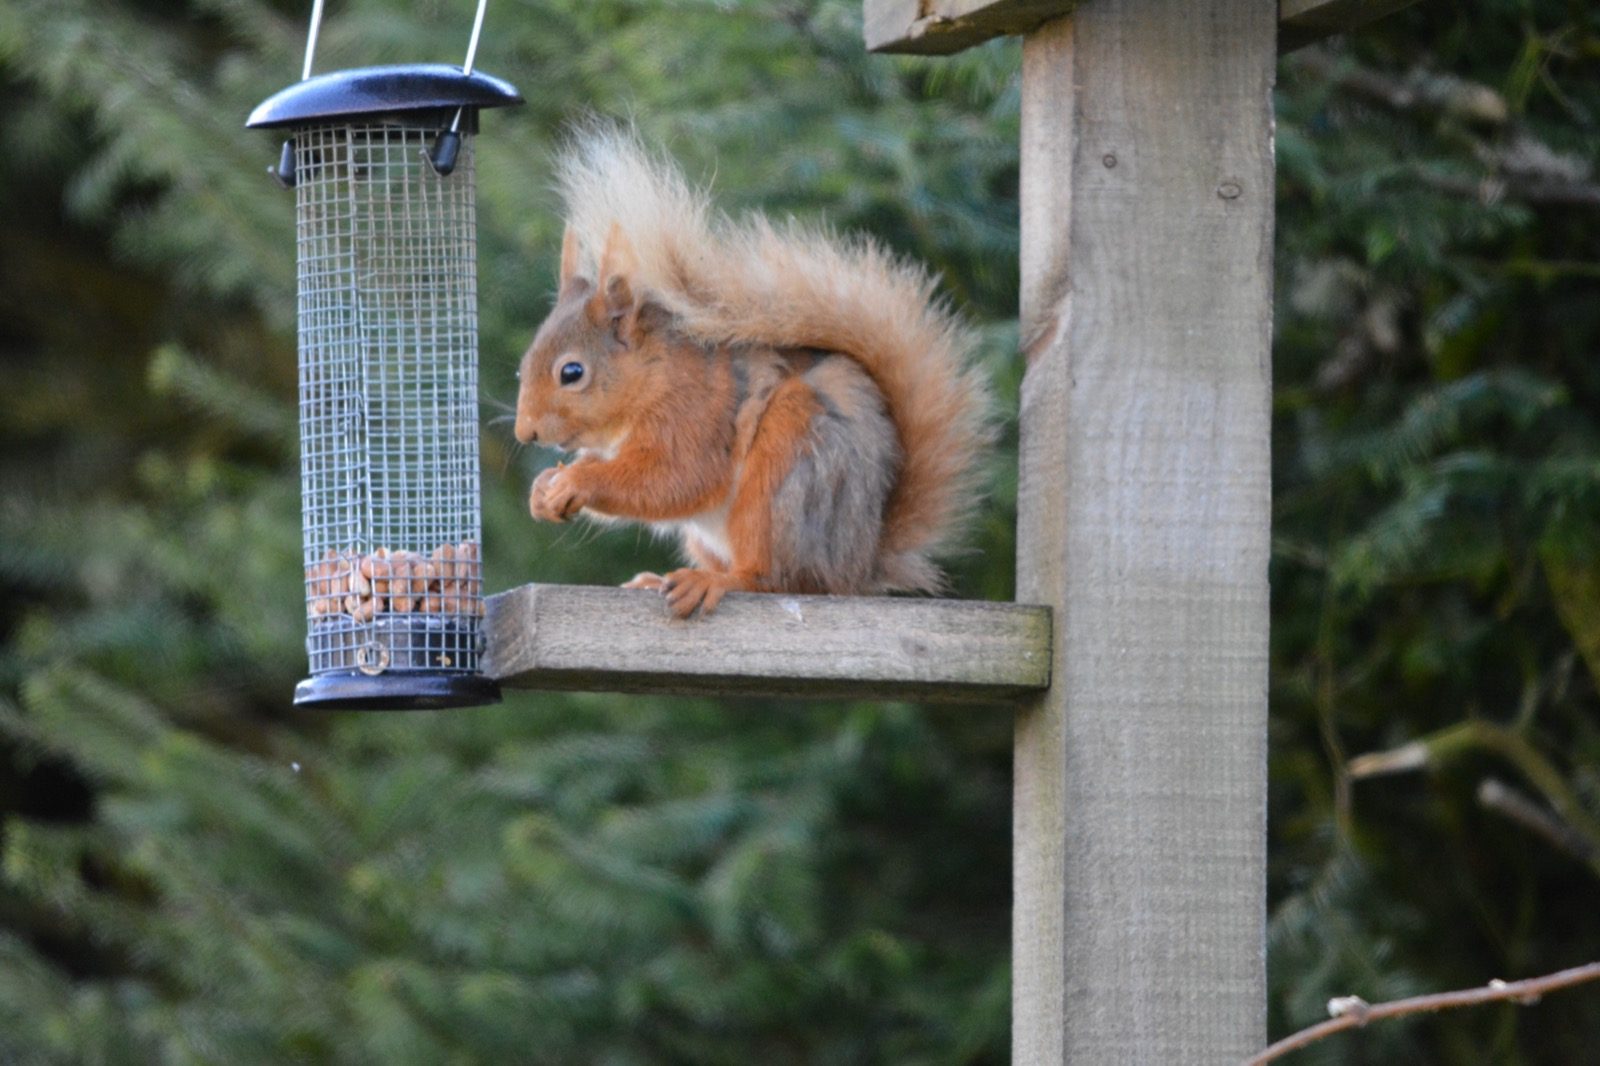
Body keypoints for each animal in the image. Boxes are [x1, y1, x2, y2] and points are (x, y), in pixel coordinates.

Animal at [514, 126, 991, 618]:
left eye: (572, 372)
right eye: (522, 369)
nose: (525, 433)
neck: (652, 377)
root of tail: (856, 568)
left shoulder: (695, 415)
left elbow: (674, 479)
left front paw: (576, 480)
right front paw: (543, 488)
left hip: (785, 473)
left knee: (776, 579)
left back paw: (714, 582)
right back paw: (658, 580)